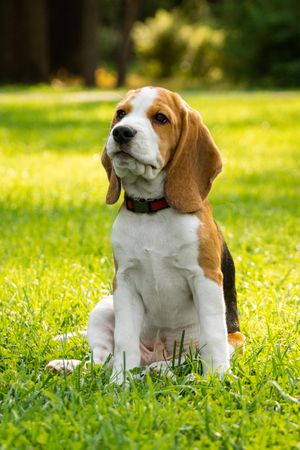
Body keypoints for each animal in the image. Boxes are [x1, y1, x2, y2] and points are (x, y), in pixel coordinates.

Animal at [85, 85, 245, 384]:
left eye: (160, 118)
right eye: (121, 113)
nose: (121, 132)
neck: (152, 209)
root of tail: (155, 354)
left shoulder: (205, 277)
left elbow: (213, 336)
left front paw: (217, 378)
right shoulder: (124, 281)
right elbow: (123, 339)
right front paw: (120, 382)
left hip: (235, 338)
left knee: (189, 357)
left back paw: (165, 369)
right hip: (103, 308)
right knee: (101, 358)